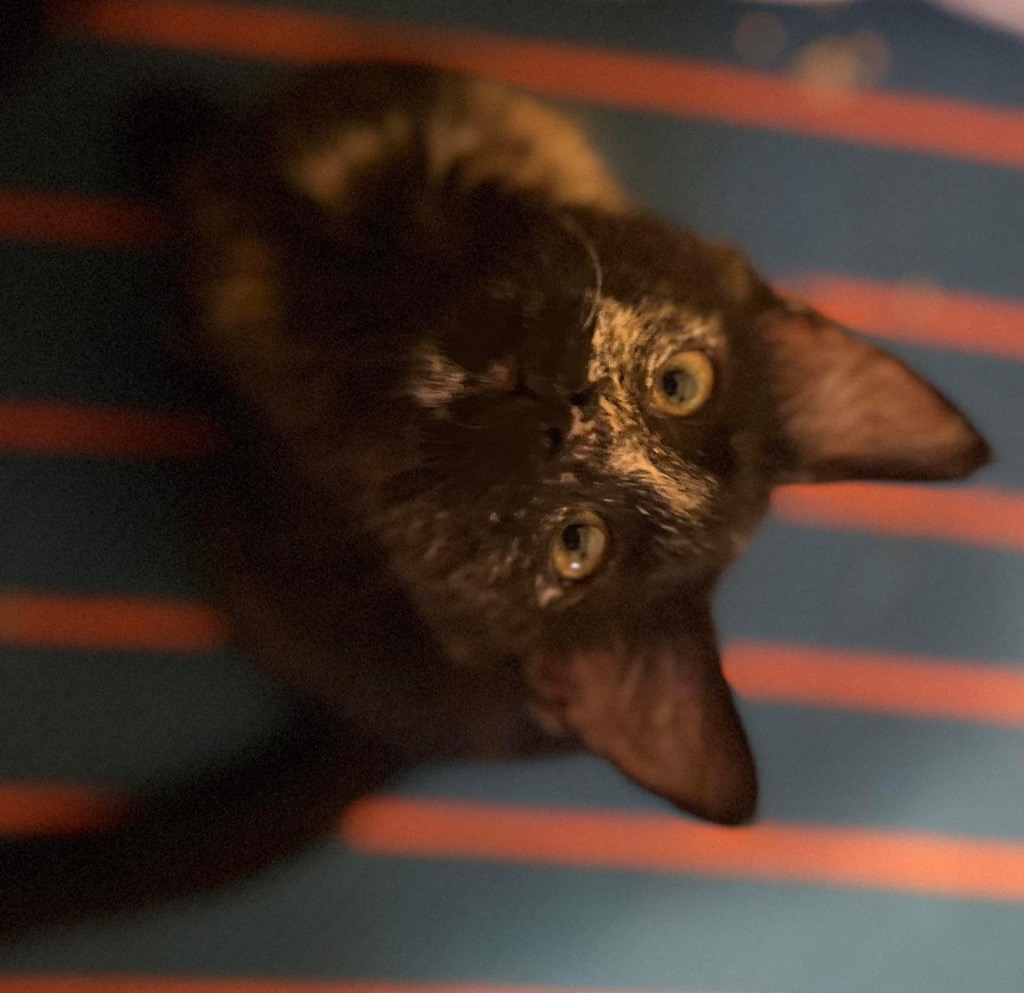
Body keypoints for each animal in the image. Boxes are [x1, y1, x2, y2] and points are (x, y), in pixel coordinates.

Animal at [0, 62, 990, 936]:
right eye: (683, 382)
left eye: (576, 545)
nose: (569, 413)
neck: (397, 249)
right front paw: (174, 120)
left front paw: (154, 138)